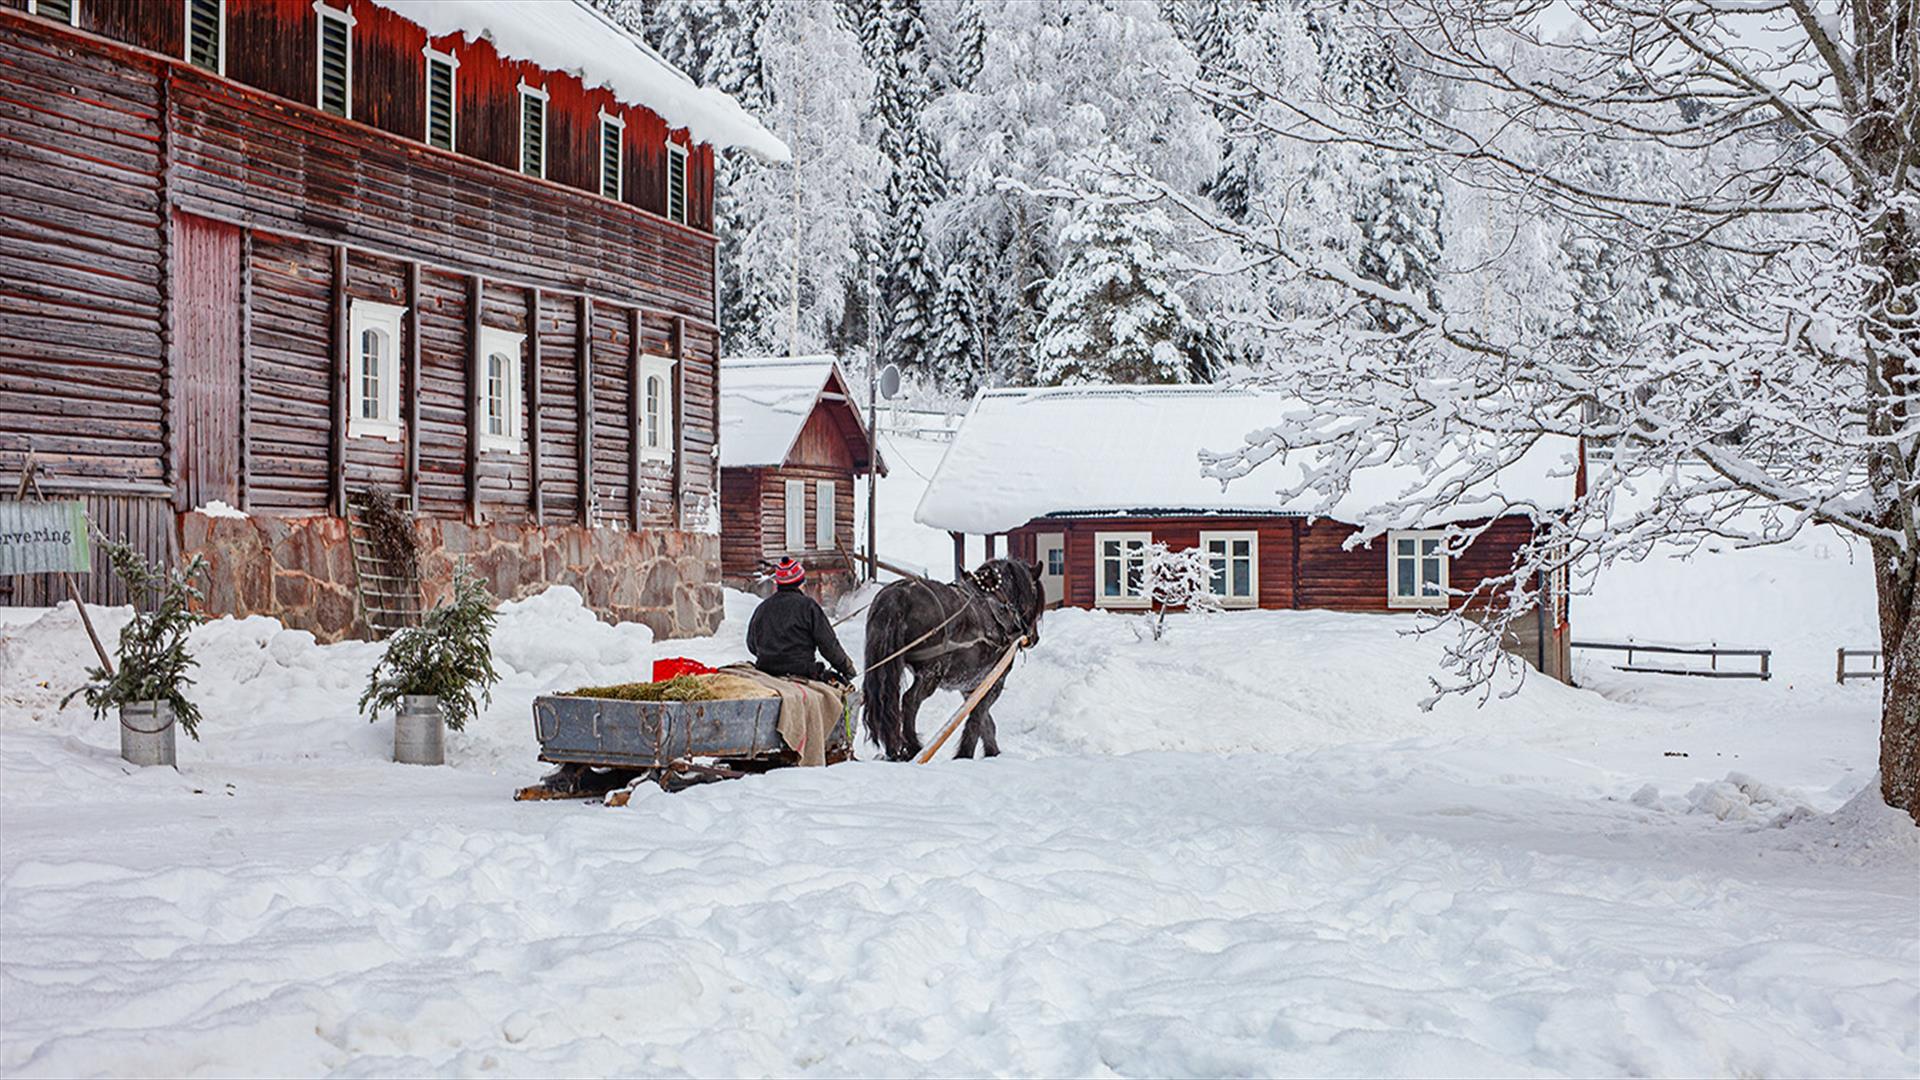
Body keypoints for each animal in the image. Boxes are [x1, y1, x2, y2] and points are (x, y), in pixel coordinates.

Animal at [864, 557, 1044, 760]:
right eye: (1034, 594)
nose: (1034, 637)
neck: (998, 599)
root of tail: (897, 596)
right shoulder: (995, 679)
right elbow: (977, 716)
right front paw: (965, 754)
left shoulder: (970, 684)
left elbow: (985, 722)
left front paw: (992, 753)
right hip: (932, 671)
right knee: (910, 701)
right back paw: (914, 747)